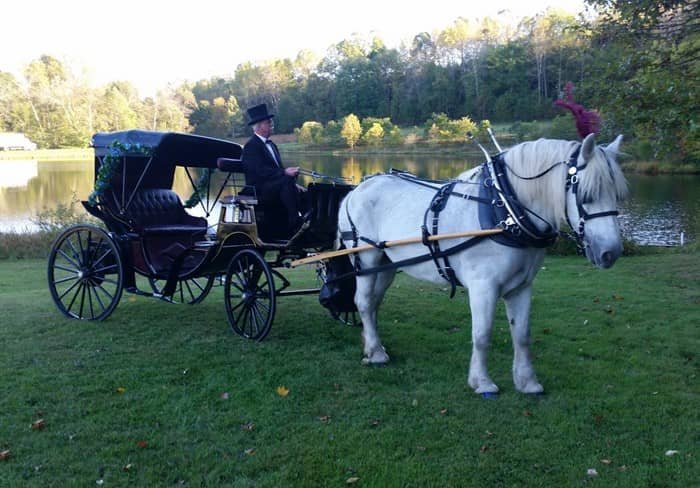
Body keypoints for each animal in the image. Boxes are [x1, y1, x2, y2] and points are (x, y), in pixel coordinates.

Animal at [336, 135, 628, 394]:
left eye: (618, 195)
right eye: (587, 195)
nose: (610, 252)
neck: (506, 212)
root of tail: (355, 190)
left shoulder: (522, 286)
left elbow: (522, 335)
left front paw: (527, 382)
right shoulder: (483, 286)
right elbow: (482, 334)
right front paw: (482, 382)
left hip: (386, 265)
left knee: (374, 303)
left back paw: (372, 345)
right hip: (366, 258)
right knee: (363, 302)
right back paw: (376, 353)